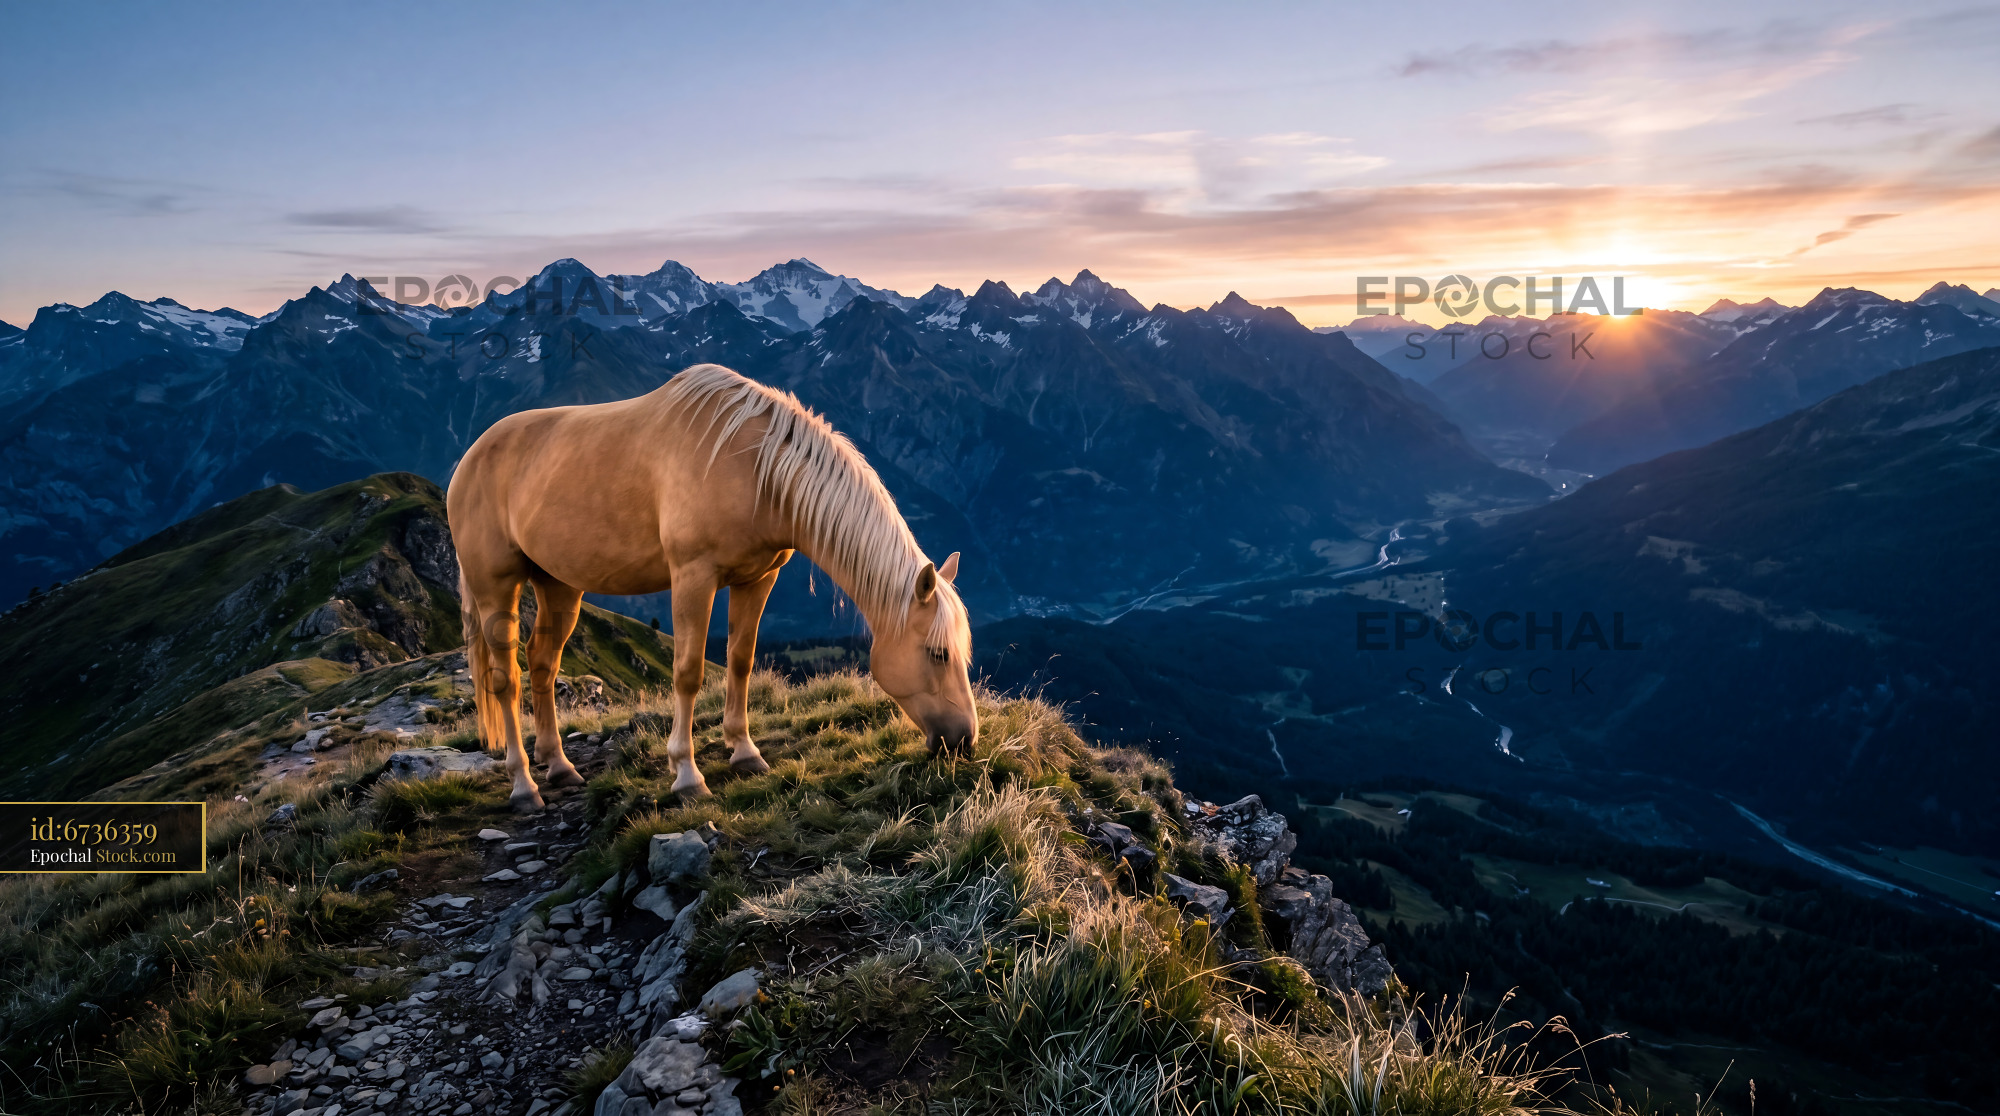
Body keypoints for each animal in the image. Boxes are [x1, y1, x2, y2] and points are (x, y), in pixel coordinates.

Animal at [446, 362, 977, 811]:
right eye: (937, 654)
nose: (965, 740)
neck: (755, 468)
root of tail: (469, 459)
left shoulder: (758, 578)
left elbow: (741, 662)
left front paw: (744, 751)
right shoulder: (693, 577)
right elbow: (688, 672)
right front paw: (687, 774)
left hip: (559, 585)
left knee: (542, 663)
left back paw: (558, 765)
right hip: (495, 587)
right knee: (506, 679)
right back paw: (524, 785)